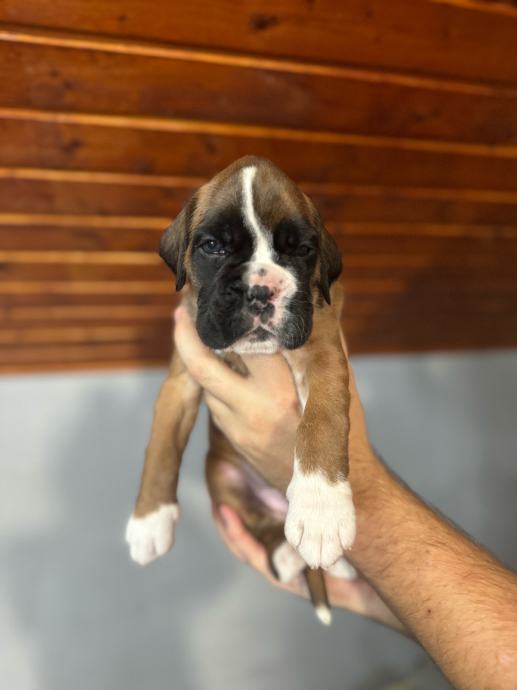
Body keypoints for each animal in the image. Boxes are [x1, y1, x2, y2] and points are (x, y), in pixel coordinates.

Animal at [126, 156, 356, 624]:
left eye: (301, 250)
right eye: (213, 246)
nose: (260, 289)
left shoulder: (323, 349)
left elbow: (323, 418)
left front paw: (322, 508)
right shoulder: (182, 378)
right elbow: (161, 444)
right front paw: (150, 518)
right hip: (222, 475)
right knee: (263, 524)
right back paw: (286, 553)